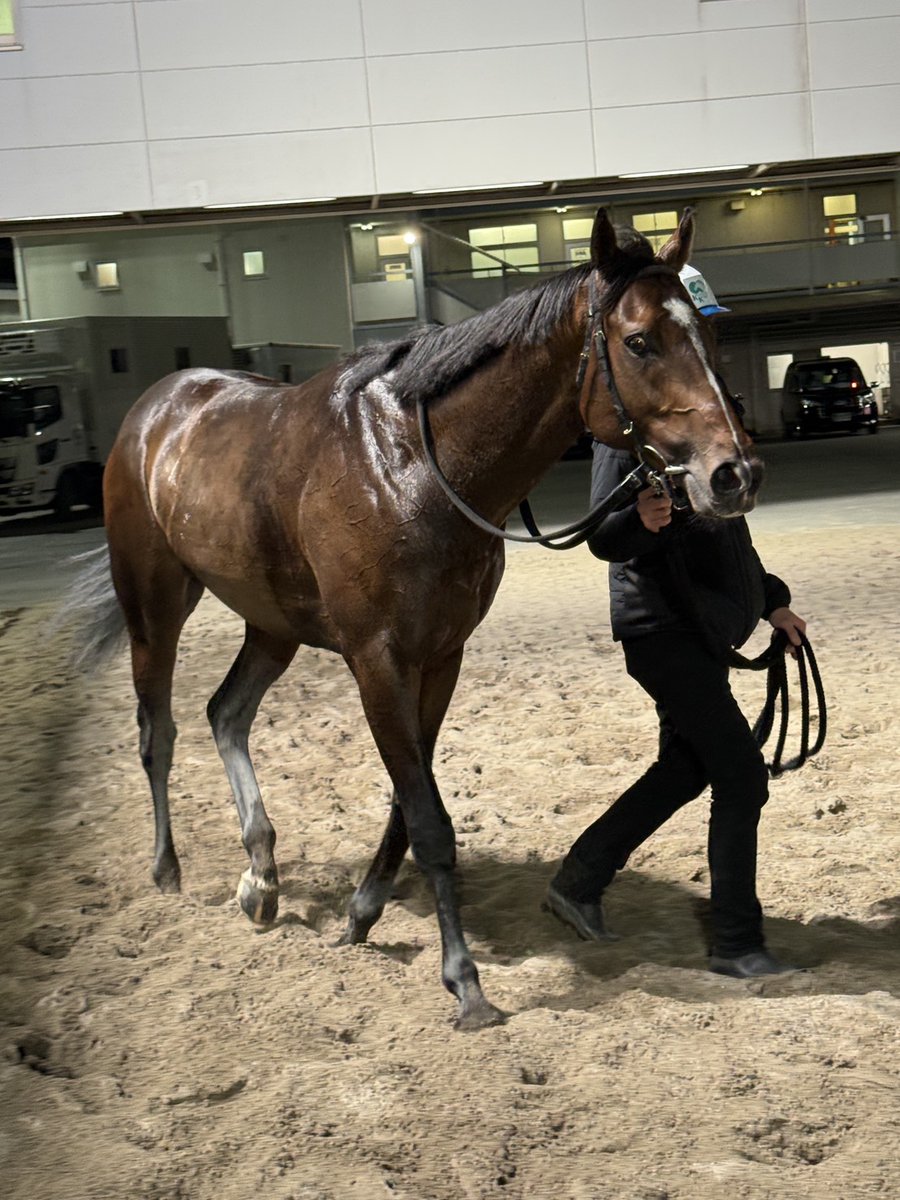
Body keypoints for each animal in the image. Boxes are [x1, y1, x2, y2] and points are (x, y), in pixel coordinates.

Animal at [66, 208, 761, 1029]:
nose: (734, 473)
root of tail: (156, 410)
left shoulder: (440, 655)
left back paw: (261, 875)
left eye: (708, 335)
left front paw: (363, 912)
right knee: (159, 732)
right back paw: (168, 871)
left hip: (273, 624)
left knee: (225, 712)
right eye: (640, 341)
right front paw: (465, 980)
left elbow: (411, 798)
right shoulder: (377, 659)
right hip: (154, 604)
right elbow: (427, 817)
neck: (412, 466)